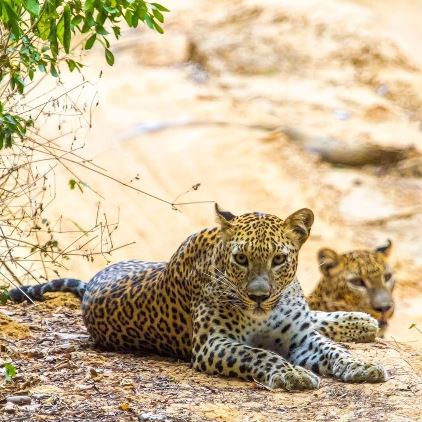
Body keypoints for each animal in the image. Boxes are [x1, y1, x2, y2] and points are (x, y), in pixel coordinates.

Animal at [9, 206, 388, 390]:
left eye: (279, 259)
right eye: (241, 259)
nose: (259, 296)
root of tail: (92, 283)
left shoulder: (300, 336)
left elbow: (333, 350)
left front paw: (362, 366)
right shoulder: (212, 344)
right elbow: (258, 353)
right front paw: (291, 374)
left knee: (317, 318)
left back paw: (361, 322)